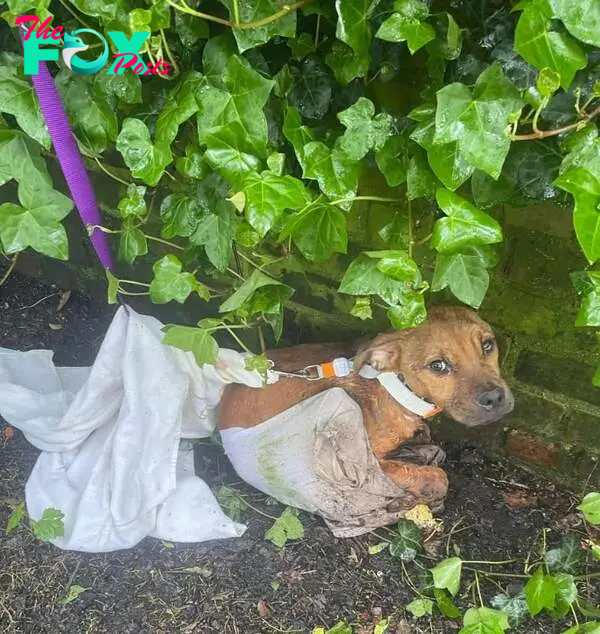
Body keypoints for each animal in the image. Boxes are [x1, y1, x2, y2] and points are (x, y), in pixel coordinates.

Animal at [218, 306, 512, 512]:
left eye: (488, 345)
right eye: (438, 366)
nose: (495, 398)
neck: (397, 391)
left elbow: (435, 454)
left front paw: (418, 453)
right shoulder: (371, 465)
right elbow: (438, 477)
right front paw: (410, 498)